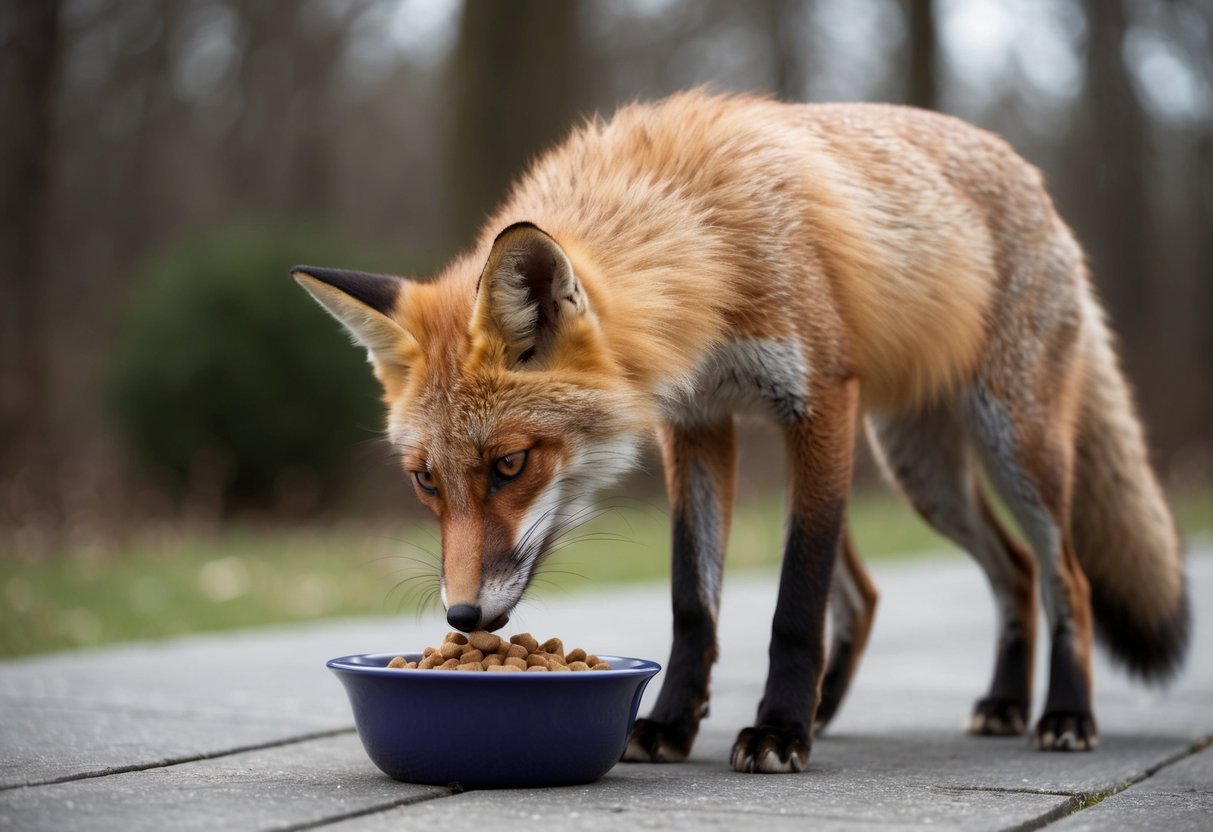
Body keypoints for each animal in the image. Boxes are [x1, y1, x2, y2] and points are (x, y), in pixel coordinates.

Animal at [293, 91, 1188, 773]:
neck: (707, 245)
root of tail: (1028, 174)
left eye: (511, 464)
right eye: (424, 481)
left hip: (1007, 441)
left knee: (1061, 576)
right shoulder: (696, 425)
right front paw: (670, 723)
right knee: (986, 576)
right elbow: (694, 602)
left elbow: (794, 601)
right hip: (920, 471)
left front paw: (778, 731)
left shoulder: (817, 403)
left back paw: (1061, 716)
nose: (464, 618)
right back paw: (986, 703)